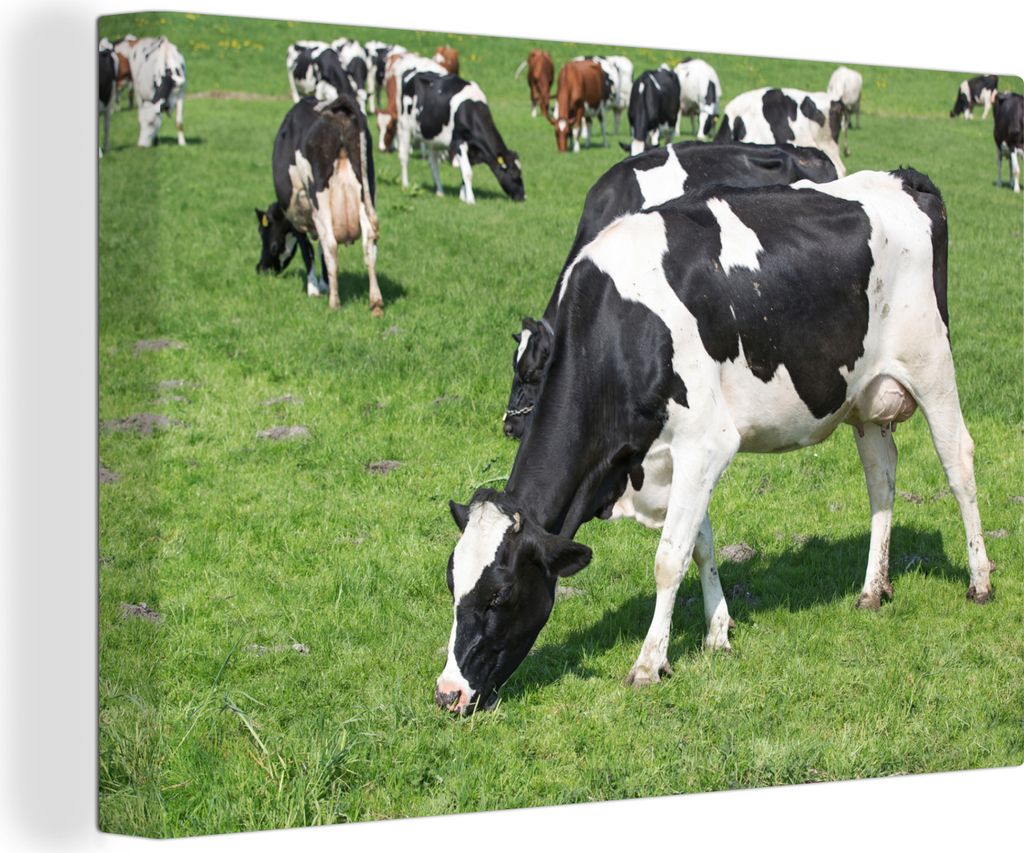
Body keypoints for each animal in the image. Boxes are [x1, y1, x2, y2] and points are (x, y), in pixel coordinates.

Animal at [255, 96, 382, 315]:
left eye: (270, 243)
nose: (261, 268)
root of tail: (339, 106)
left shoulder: (299, 216)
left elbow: (309, 251)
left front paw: (314, 288)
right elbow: (320, 250)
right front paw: (324, 284)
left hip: (320, 197)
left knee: (331, 245)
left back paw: (334, 303)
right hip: (366, 192)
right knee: (369, 243)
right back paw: (375, 303)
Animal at [394, 68, 524, 204]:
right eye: (513, 173)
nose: (522, 196)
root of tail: (413, 72)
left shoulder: (472, 150)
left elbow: (464, 172)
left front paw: (463, 197)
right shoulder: (459, 141)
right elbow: (467, 172)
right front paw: (471, 200)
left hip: (432, 138)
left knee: (433, 164)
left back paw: (440, 191)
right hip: (404, 127)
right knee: (404, 156)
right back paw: (405, 184)